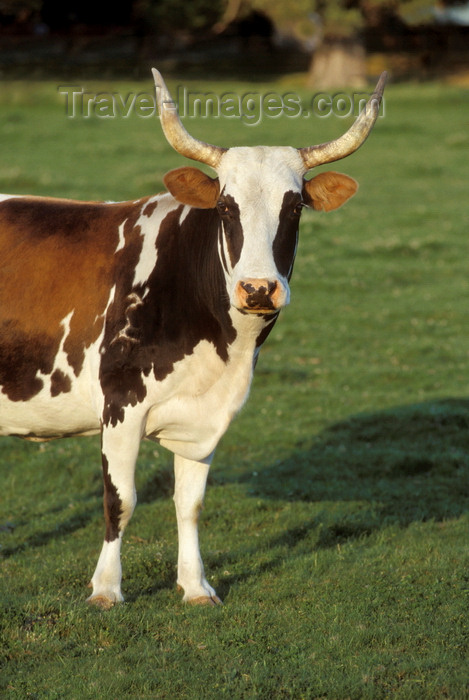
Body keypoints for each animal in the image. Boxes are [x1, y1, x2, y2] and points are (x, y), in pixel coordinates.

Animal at [0, 69, 386, 608]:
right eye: (225, 206)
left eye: (295, 208)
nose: (258, 288)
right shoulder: (121, 405)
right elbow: (120, 499)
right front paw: (106, 589)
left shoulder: (205, 418)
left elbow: (191, 502)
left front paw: (195, 585)